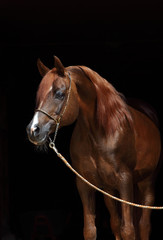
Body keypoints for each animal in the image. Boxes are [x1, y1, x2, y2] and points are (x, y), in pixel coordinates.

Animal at [26, 56, 162, 240]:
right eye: (39, 95)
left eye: (59, 94)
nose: (33, 130)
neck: (100, 135)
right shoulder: (85, 183)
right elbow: (91, 230)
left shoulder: (125, 180)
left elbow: (128, 230)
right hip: (109, 189)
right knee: (115, 222)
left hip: (146, 183)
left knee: (143, 225)